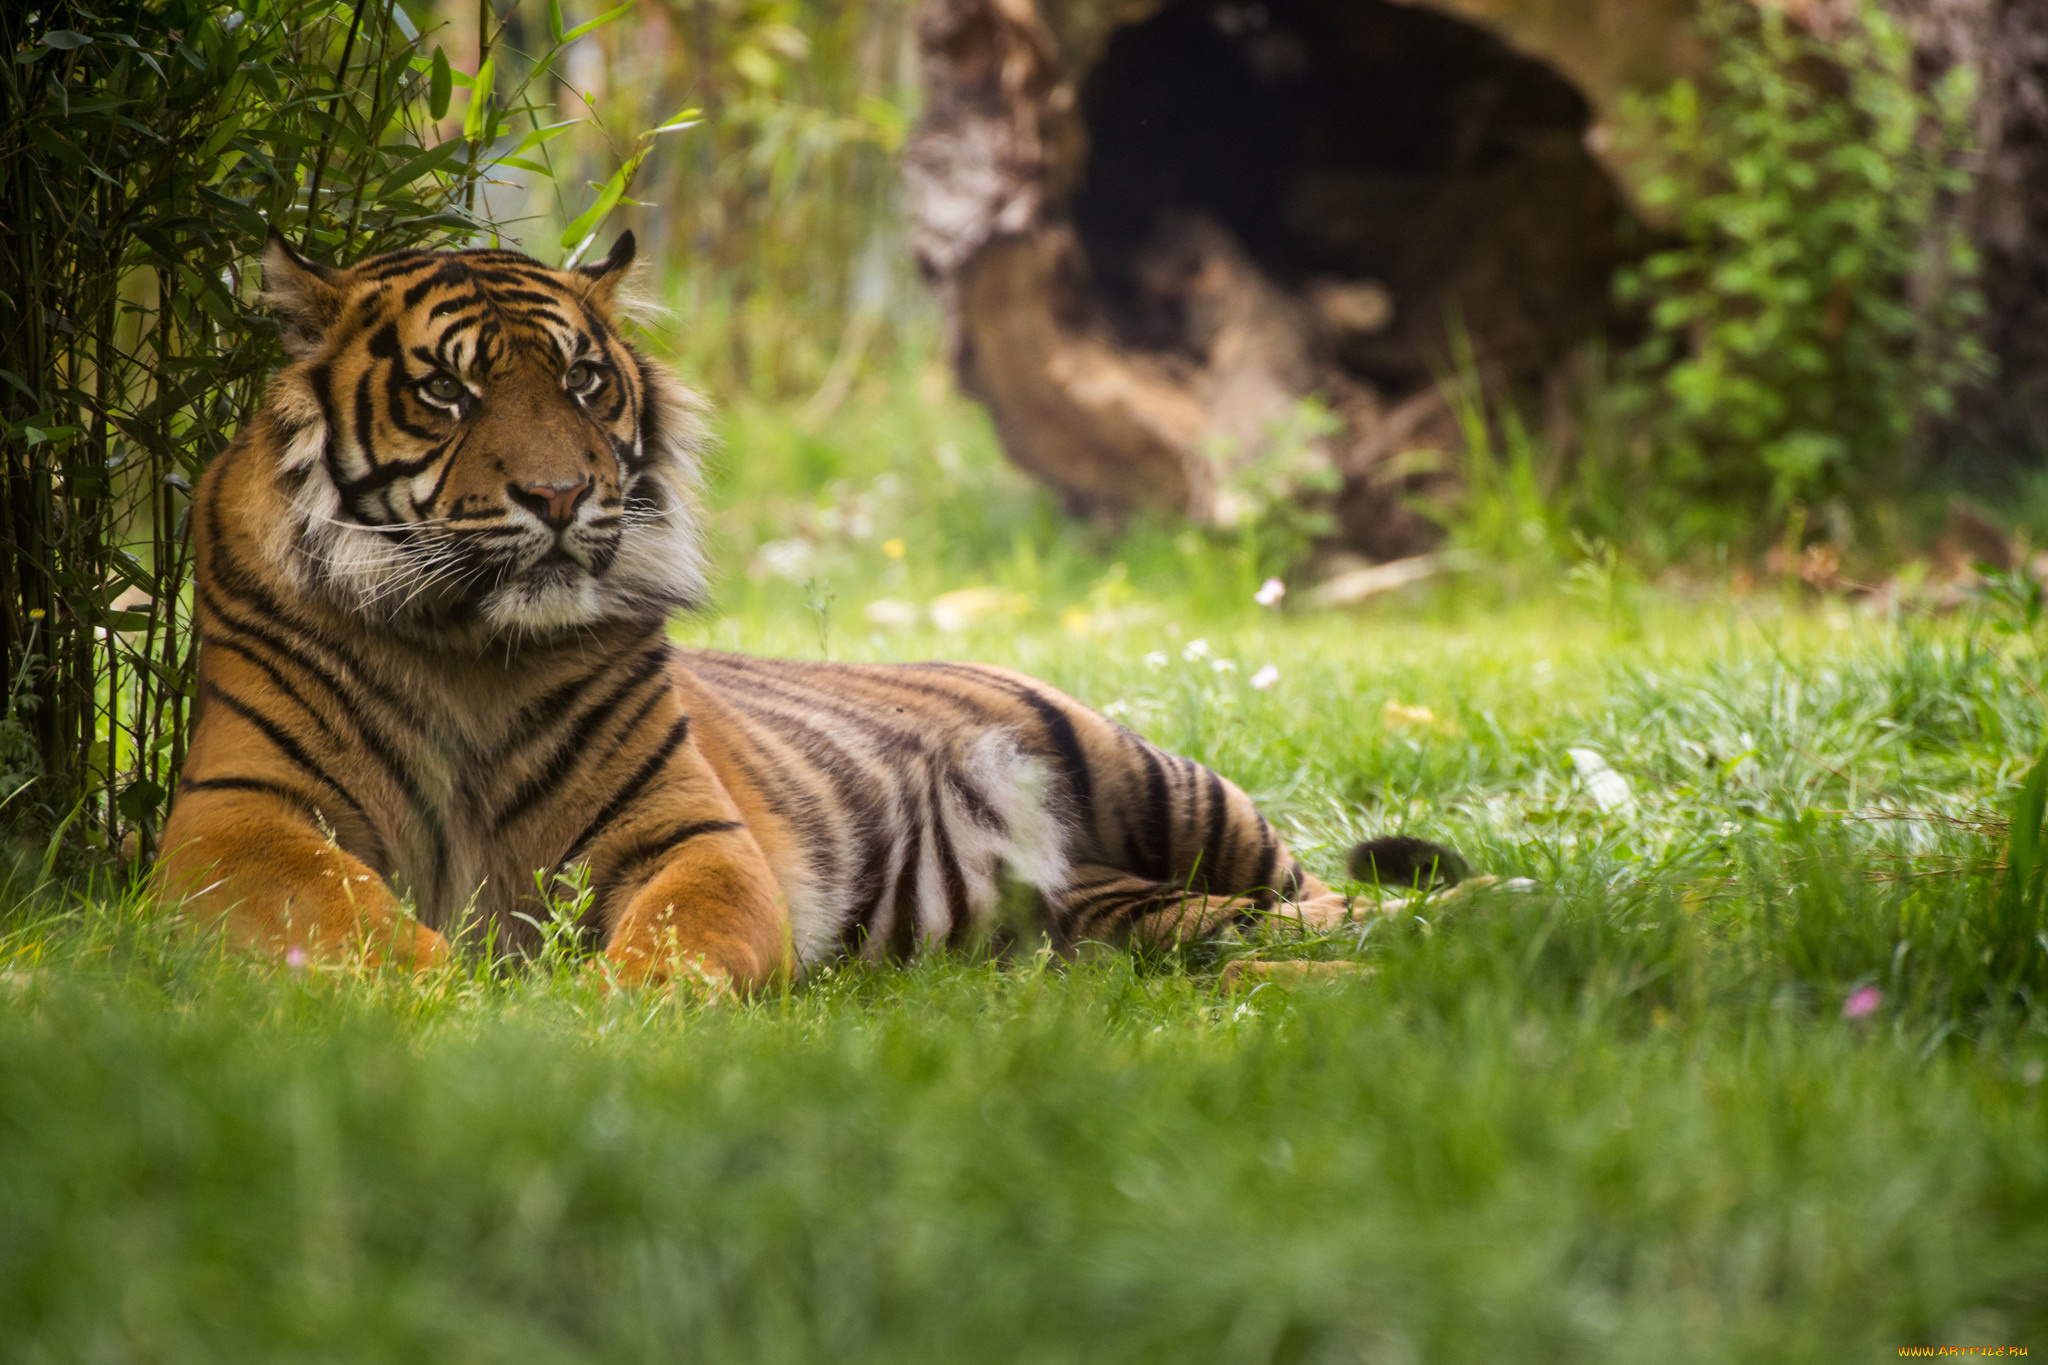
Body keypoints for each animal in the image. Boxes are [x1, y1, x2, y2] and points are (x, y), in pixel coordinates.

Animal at [155, 230, 1463, 990]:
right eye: (447, 392)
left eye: (582, 380)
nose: (560, 493)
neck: (469, 646)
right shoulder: (236, 820)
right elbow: (344, 917)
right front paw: (445, 993)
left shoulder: (685, 833)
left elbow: (676, 937)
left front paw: (610, 1014)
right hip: (1121, 908)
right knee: (1241, 927)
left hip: (1151, 778)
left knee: (1328, 896)